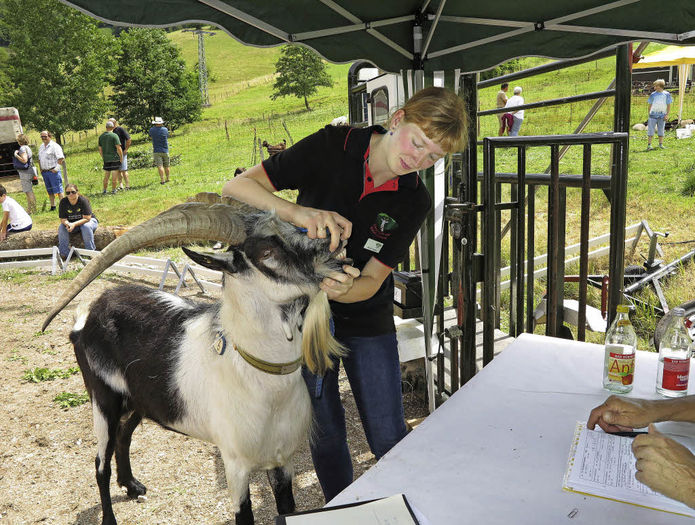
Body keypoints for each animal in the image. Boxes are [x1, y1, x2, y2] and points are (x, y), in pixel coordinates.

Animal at [39, 200, 348, 524]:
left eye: (292, 229)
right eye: (266, 253)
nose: (334, 245)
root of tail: (86, 319)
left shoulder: (282, 460)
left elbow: (286, 508)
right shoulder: (235, 465)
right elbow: (244, 514)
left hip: (140, 400)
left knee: (124, 436)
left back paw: (133, 486)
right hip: (103, 401)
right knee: (101, 464)